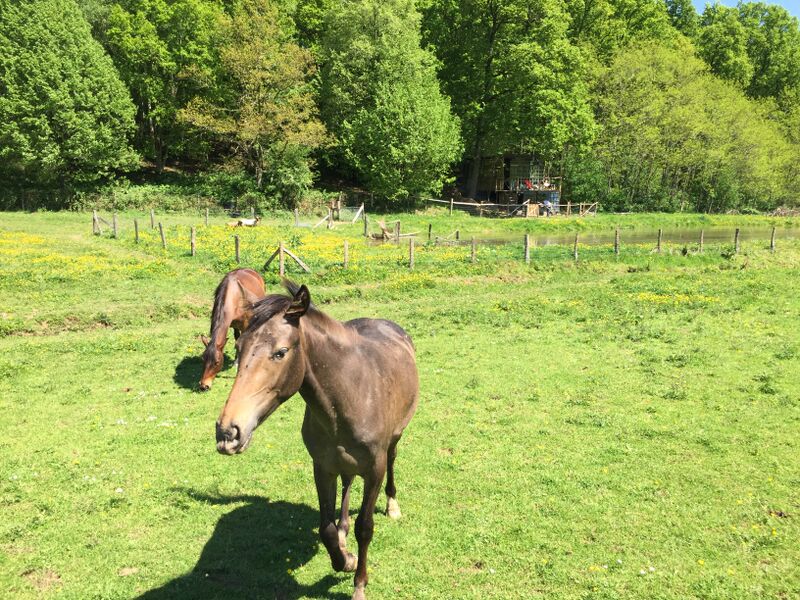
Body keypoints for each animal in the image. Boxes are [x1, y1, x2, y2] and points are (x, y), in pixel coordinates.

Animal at [216, 282, 422, 600]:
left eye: (281, 352)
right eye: (238, 349)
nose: (228, 432)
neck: (350, 394)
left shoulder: (374, 469)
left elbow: (365, 527)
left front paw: (359, 584)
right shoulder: (322, 467)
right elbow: (326, 528)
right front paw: (345, 558)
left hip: (395, 440)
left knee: (392, 461)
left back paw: (391, 505)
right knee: (347, 482)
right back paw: (343, 532)